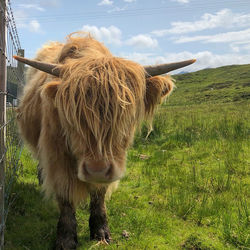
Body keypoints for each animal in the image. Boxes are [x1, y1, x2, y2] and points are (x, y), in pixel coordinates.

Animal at [14, 32, 195, 249]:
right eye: (72, 116)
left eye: (126, 116)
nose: (97, 170)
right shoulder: (57, 157)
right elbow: (66, 197)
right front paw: (66, 239)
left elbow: (99, 196)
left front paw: (101, 232)